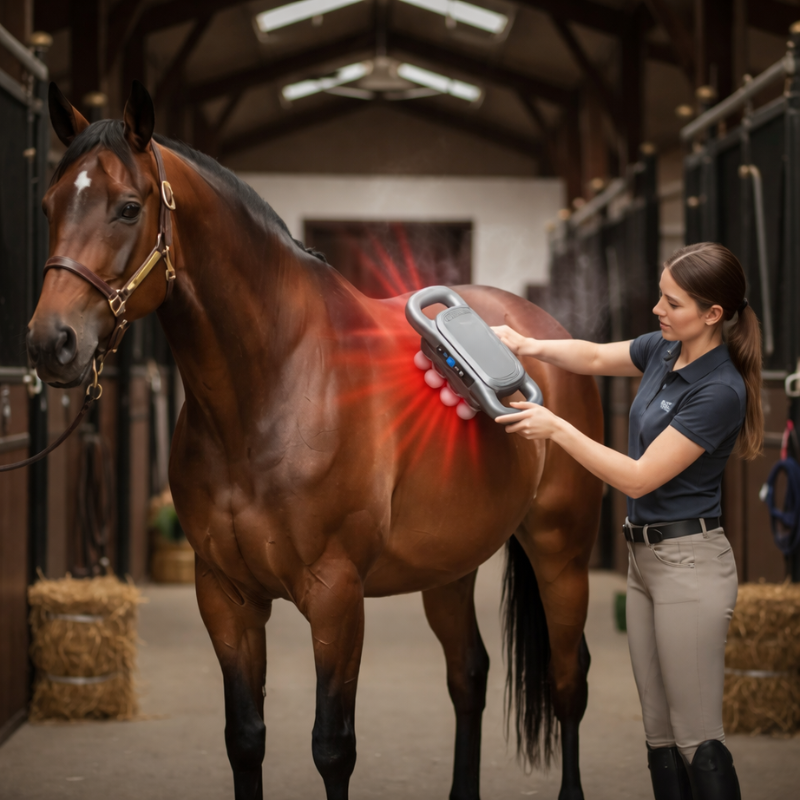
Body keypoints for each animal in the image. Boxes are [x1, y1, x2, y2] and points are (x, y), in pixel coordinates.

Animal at [26, 82, 603, 800]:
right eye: (48, 205)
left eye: (128, 208)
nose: (51, 343)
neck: (272, 390)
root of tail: (540, 328)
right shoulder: (226, 596)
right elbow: (244, 739)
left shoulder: (336, 597)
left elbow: (333, 747)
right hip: (449, 566)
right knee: (469, 674)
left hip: (561, 550)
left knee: (567, 678)